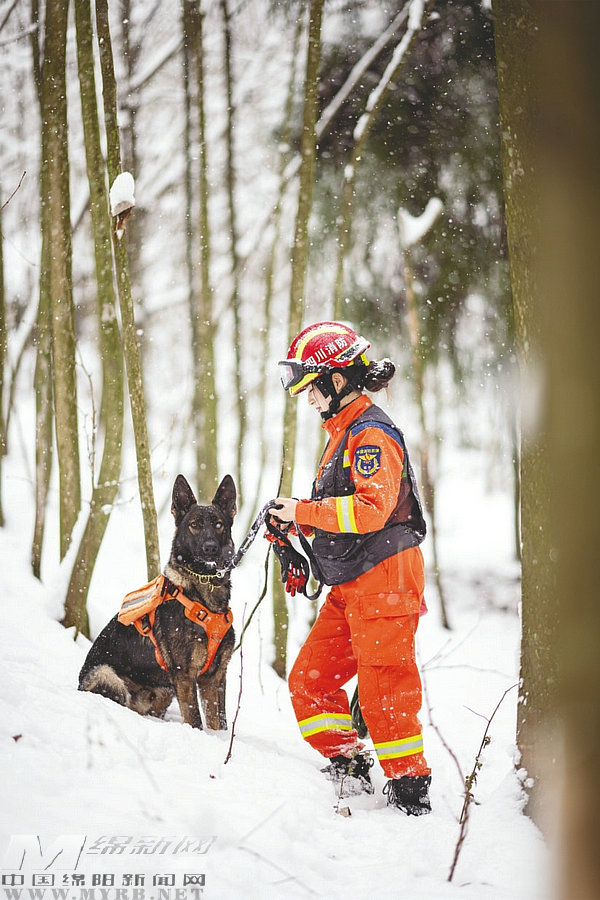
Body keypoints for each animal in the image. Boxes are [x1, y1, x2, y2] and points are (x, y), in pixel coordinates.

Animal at [78, 474, 237, 730]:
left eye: (218, 525)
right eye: (195, 525)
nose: (211, 548)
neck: (203, 591)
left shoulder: (216, 675)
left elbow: (218, 722)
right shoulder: (184, 674)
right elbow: (195, 720)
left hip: (164, 690)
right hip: (107, 675)